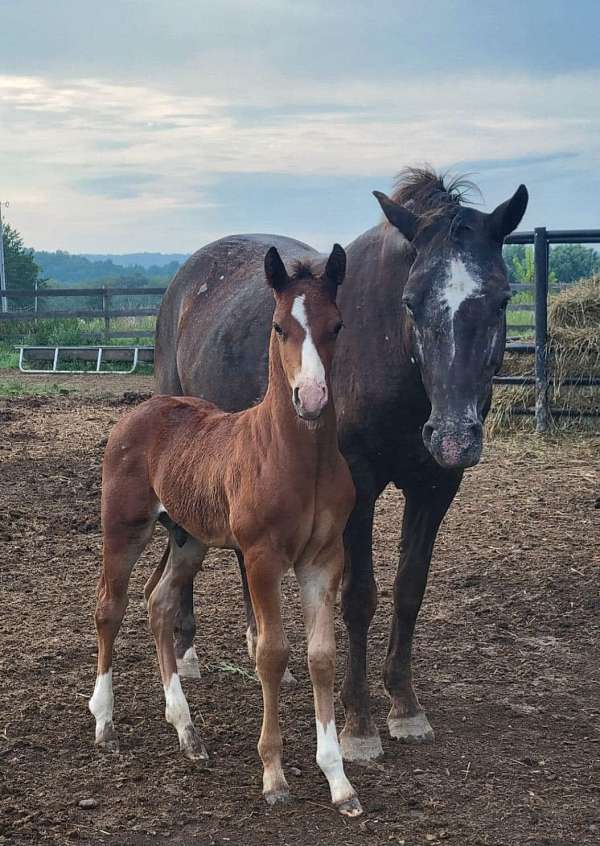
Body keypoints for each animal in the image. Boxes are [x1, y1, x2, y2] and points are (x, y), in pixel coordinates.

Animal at [88, 245, 360, 816]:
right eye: (279, 326)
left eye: (337, 324)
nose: (311, 398)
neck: (299, 459)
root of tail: (144, 409)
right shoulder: (261, 558)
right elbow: (272, 654)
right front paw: (274, 777)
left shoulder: (323, 560)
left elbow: (321, 656)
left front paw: (339, 781)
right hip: (124, 527)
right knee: (110, 606)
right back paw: (104, 722)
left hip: (188, 537)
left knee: (159, 602)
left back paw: (187, 731)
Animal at [156, 169, 528, 764]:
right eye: (411, 301)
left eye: (500, 300)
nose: (452, 437)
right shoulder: (358, 488)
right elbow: (358, 598)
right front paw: (358, 723)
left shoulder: (436, 486)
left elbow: (409, 588)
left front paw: (405, 705)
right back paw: (187, 650)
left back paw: (256, 641)